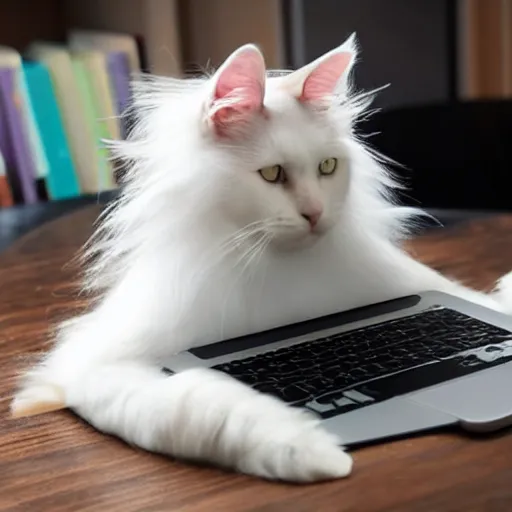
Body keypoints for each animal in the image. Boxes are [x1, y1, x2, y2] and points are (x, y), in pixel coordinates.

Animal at [11, 37, 512, 484]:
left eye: (328, 168)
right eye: (272, 175)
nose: (315, 213)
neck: (280, 271)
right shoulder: (93, 366)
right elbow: (196, 411)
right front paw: (308, 452)